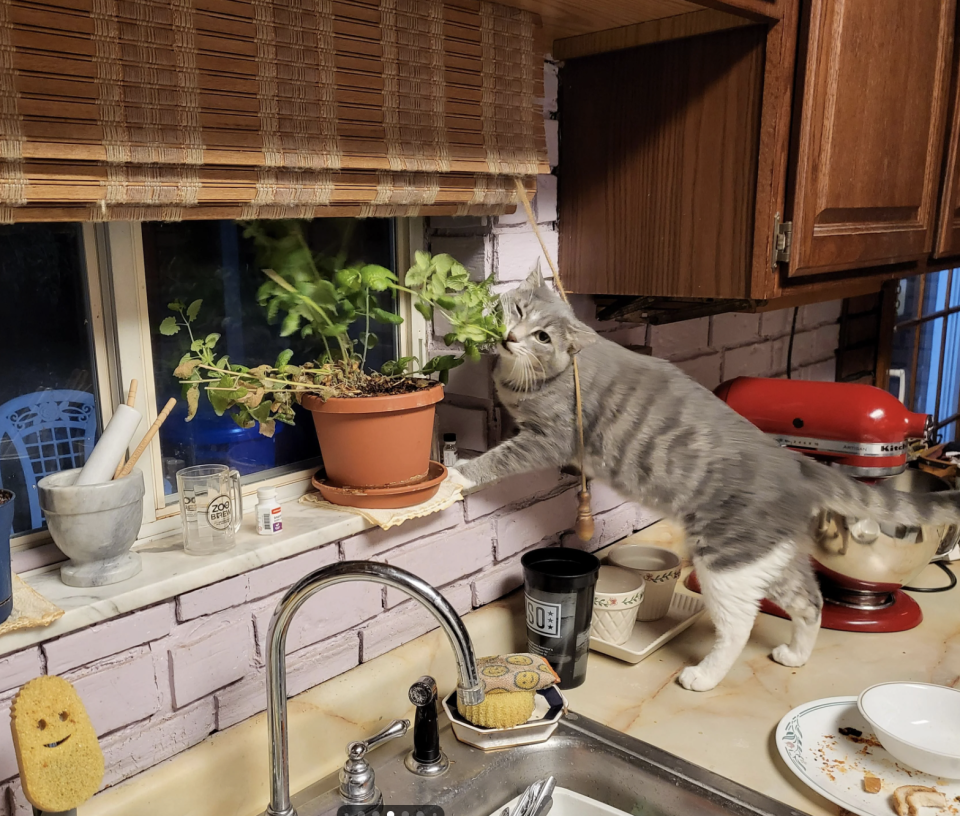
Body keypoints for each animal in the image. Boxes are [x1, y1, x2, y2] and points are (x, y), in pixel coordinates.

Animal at [456, 268, 960, 688]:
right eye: (519, 311)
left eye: (542, 336)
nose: (510, 337)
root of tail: (794, 464)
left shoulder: (550, 438)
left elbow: (502, 458)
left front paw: (463, 474)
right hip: (769, 558)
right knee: (810, 602)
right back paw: (795, 654)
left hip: (726, 562)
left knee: (739, 625)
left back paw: (705, 675)